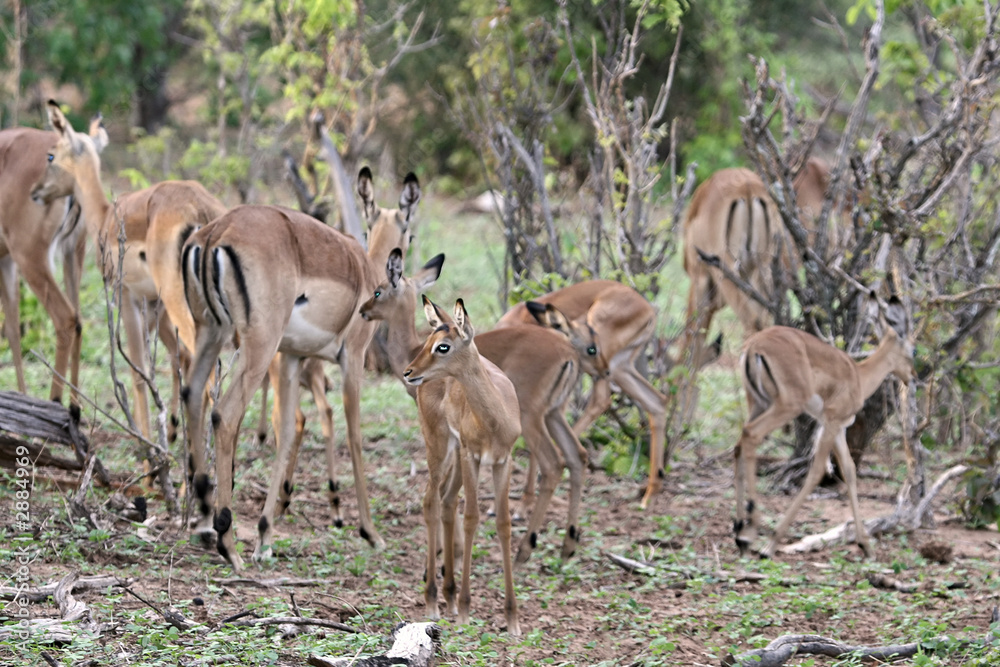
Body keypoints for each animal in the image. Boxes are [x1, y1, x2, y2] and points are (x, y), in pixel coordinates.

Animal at [404, 298, 524, 636]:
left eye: (443, 346)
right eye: (429, 341)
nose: (409, 372)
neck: (495, 420)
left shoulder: (503, 461)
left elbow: (504, 524)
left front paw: (512, 619)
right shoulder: (474, 457)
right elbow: (471, 518)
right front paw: (468, 610)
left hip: (455, 455)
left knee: (446, 501)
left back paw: (449, 596)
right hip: (440, 447)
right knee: (430, 501)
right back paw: (434, 599)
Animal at [736, 298, 916, 560]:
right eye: (913, 350)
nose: (912, 376)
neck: (858, 376)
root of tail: (754, 345)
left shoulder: (838, 428)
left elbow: (849, 471)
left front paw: (865, 544)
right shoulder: (830, 423)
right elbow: (818, 471)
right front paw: (771, 544)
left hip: (757, 403)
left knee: (739, 445)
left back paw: (740, 531)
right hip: (785, 407)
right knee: (751, 435)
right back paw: (749, 534)